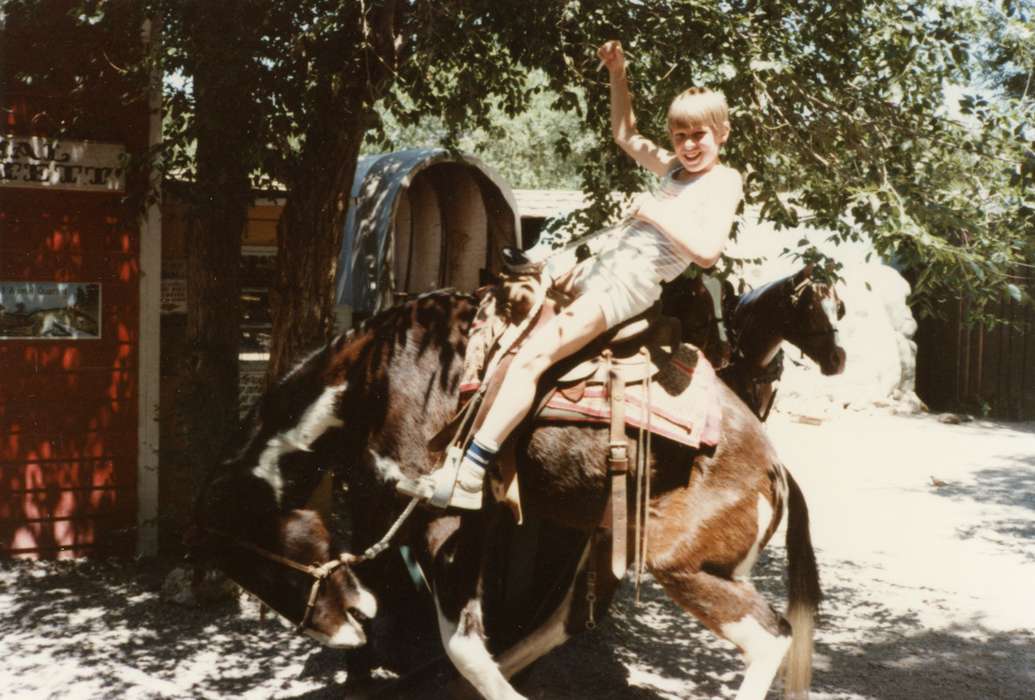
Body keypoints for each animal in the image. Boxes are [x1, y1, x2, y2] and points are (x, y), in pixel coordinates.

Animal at [194, 287, 819, 699]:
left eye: (259, 563)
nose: (336, 632)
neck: (380, 378)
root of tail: (777, 470)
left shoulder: (446, 522)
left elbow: (462, 643)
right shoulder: (397, 508)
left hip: (682, 566)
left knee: (771, 637)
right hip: (610, 541)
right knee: (573, 618)